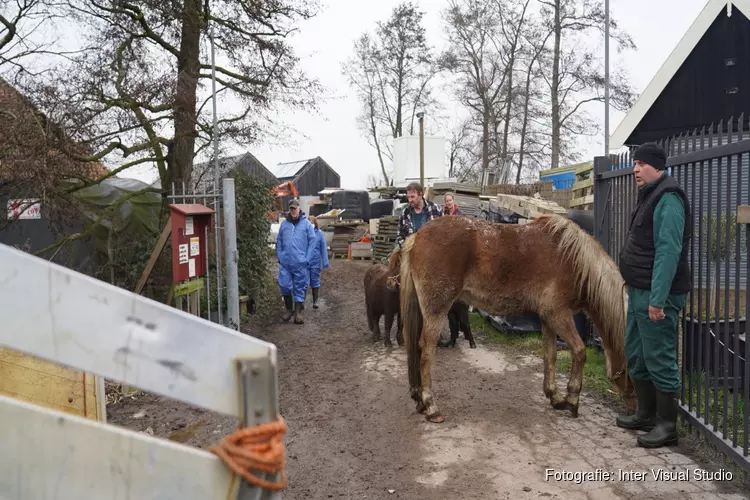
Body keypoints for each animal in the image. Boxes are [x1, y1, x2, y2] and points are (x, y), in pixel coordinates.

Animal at [388, 214, 636, 422]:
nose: (634, 407)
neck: (571, 258)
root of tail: (417, 237)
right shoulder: (558, 314)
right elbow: (580, 351)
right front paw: (572, 400)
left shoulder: (547, 319)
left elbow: (551, 356)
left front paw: (555, 396)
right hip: (437, 309)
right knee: (426, 350)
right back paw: (431, 406)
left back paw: (420, 401)